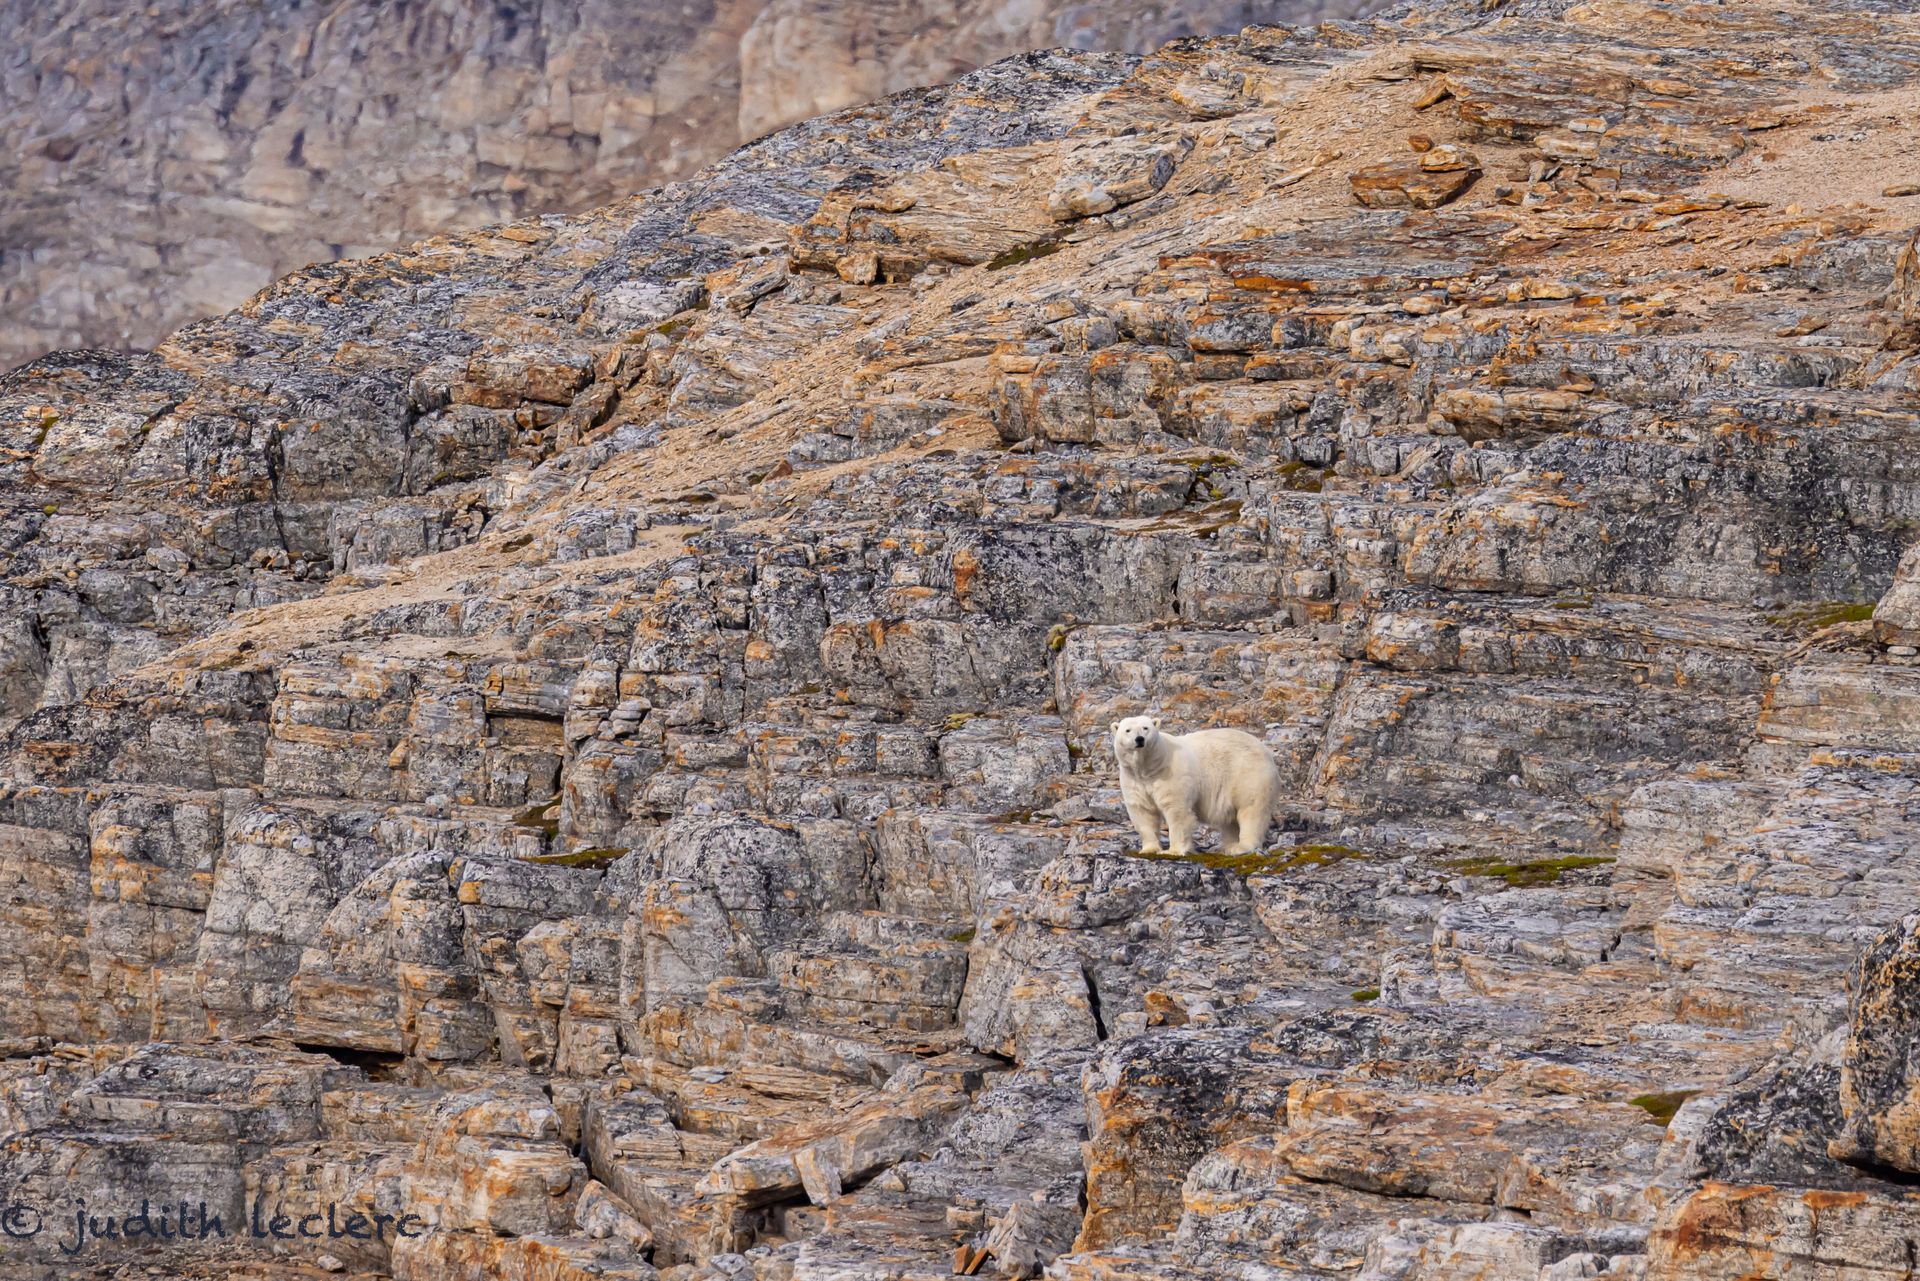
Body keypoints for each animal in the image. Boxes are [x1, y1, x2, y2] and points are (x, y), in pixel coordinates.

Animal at [1111, 715, 1281, 857]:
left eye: (1145, 728)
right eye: (1127, 730)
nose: (1139, 739)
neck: (1149, 767)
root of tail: (1266, 751)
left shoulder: (1171, 774)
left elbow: (1177, 811)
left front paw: (1173, 851)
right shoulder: (1134, 779)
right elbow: (1143, 812)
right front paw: (1149, 849)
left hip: (1247, 775)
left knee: (1251, 810)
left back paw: (1240, 847)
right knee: (1230, 820)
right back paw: (1225, 846)